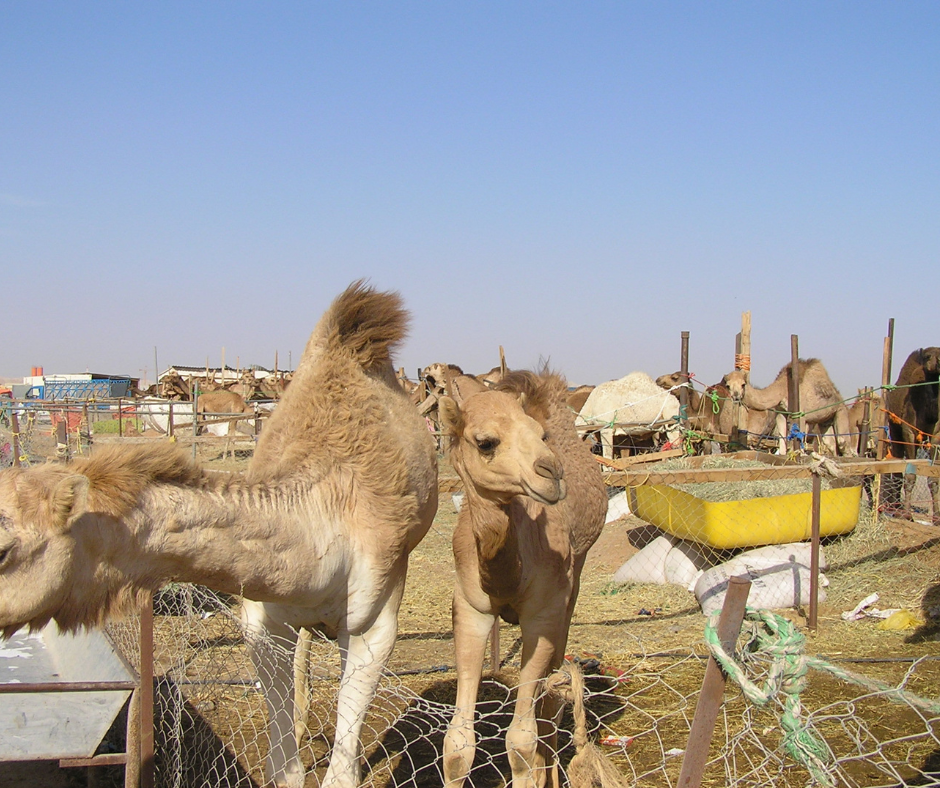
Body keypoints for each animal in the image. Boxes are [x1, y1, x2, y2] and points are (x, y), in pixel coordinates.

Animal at [0, 281, 438, 788]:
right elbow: (283, 768)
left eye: (4, 550)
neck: (326, 517)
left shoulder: (375, 624)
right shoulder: (262, 618)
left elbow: (342, 773)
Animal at [438, 370, 608, 788]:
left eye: (539, 434)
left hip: (575, 579)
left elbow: (521, 741)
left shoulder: (544, 613)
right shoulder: (469, 609)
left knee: (551, 693)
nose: (552, 472)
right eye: (485, 442)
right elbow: (457, 744)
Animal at [721, 359, 856, 456]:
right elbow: (782, 443)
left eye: (743, 384)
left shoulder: (801, 414)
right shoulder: (781, 412)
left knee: (843, 443)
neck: (783, 387)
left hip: (841, 411)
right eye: (728, 385)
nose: (736, 396)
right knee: (831, 444)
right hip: (825, 420)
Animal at [883, 347, 940, 521]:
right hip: (894, 430)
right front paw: (907, 514)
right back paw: (896, 509)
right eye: (928, 356)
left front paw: (936, 518)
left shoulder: (936, 436)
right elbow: (910, 475)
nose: (939, 362)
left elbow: (933, 478)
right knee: (896, 469)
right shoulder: (908, 431)